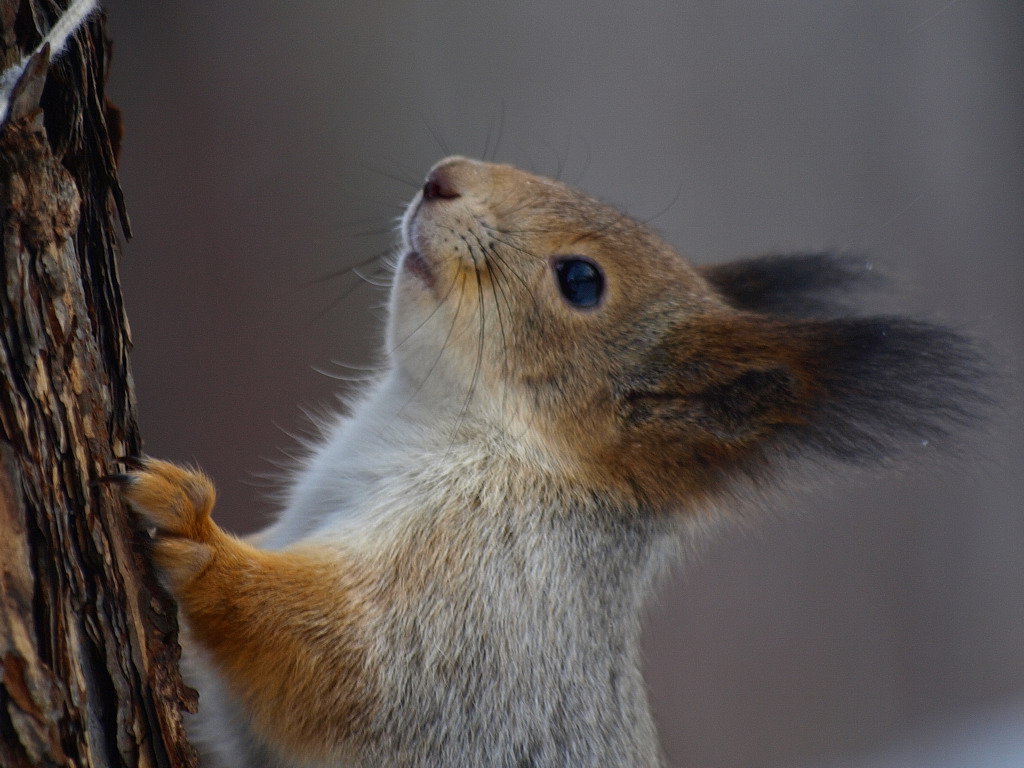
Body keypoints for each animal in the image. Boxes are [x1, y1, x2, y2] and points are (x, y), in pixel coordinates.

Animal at [110, 157, 983, 768]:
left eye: (581, 280)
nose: (444, 177)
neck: (428, 418)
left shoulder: (486, 593)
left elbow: (344, 658)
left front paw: (198, 537)